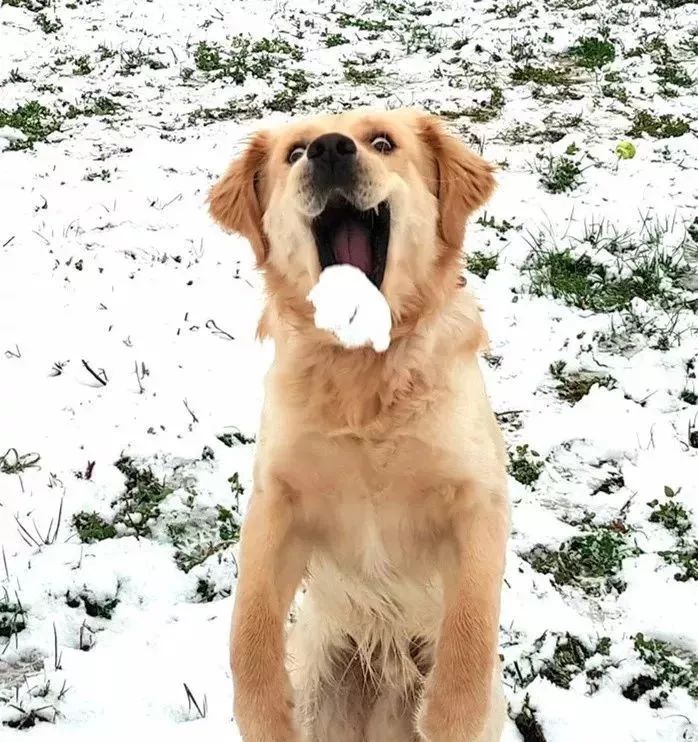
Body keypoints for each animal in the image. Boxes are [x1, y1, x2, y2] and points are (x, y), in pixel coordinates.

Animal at [207, 106, 506, 742]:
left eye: (383, 143)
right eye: (295, 153)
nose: (328, 149)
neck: (363, 368)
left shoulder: (478, 497)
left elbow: (471, 628)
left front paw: (450, 714)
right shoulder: (277, 499)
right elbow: (250, 622)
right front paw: (264, 712)